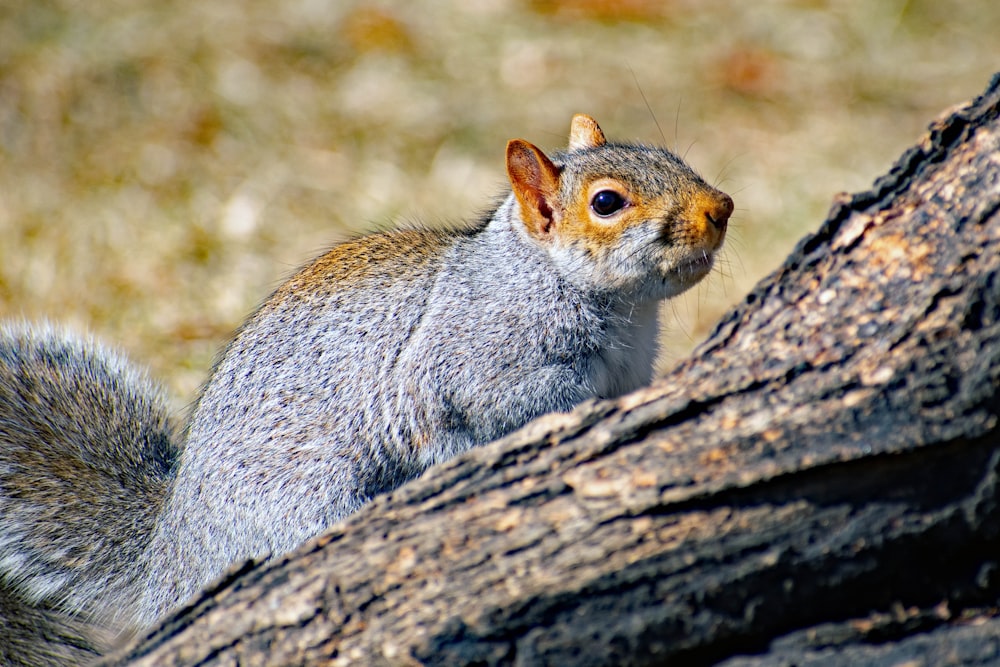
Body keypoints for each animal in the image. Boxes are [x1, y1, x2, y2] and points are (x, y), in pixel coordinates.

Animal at [0, 115, 732, 664]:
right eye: (607, 203)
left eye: (670, 155)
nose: (720, 207)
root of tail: (164, 562)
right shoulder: (469, 367)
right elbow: (507, 410)